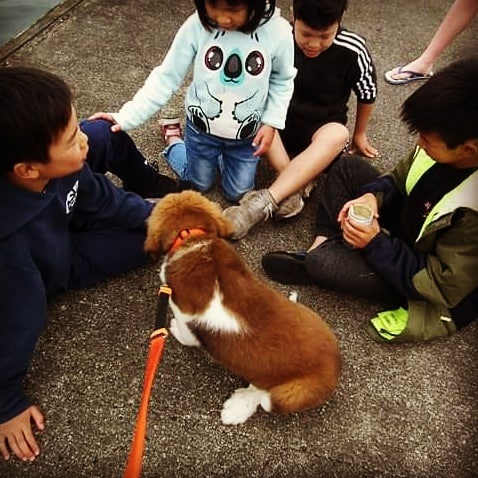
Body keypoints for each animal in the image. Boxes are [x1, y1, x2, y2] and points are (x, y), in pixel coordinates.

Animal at [144, 192, 342, 424]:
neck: (193, 239)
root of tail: (335, 365)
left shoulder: (185, 317)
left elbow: (186, 335)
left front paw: (174, 330)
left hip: (285, 395)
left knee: (262, 394)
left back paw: (237, 406)